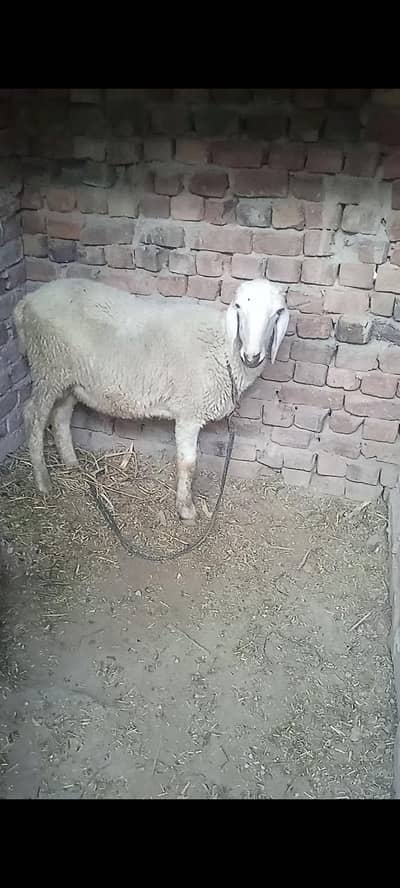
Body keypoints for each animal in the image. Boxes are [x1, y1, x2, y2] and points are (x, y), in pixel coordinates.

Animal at [13, 277, 289, 521]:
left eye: (277, 312)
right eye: (239, 307)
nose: (252, 356)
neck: (223, 348)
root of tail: (27, 301)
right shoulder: (189, 412)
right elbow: (188, 463)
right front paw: (186, 510)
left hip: (70, 377)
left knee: (60, 416)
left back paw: (71, 463)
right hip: (47, 364)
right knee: (33, 415)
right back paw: (43, 481)